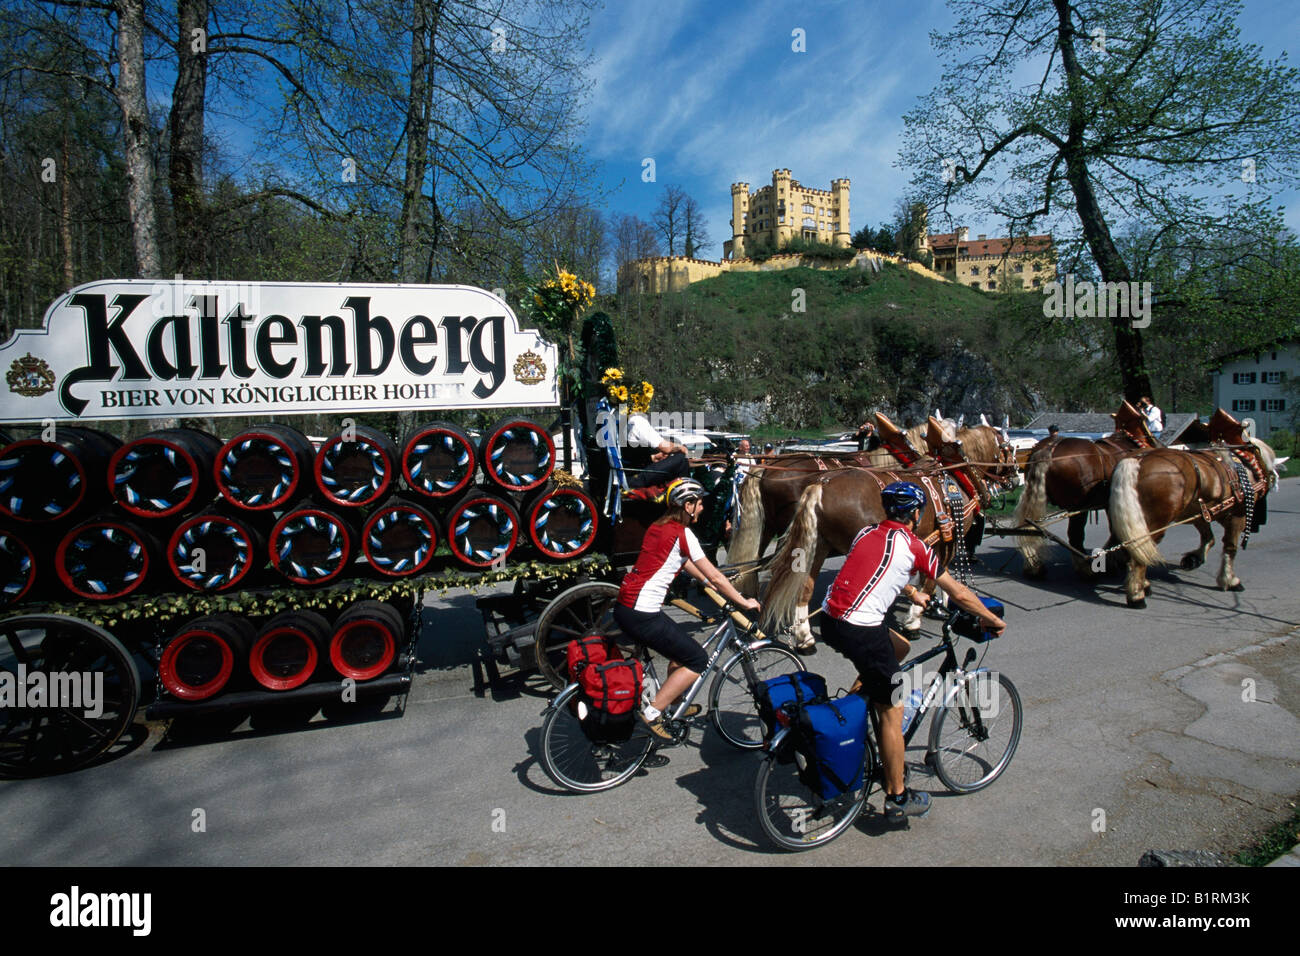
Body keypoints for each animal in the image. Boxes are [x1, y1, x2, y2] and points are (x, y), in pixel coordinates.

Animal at [1013, 403, 1159, 580]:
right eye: (1146, 421)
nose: (1155, 442)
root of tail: (1049, 449)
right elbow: (1116, 531)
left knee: (1031, 527)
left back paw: (1034, 566)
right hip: (1078, 507)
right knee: (1075, 535)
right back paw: (1085, 569)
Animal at [1107, 437, 1279, 608]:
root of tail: (1137, 460)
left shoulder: (1199, 511)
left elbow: (1209, 537)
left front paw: (1194, 559)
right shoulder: (1237, 515)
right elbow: (1230, 547)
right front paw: (1230, 580)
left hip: (1127, 522)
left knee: (1125, 550)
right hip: (1153, 525)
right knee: (1138, 557)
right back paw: (1137, 596)